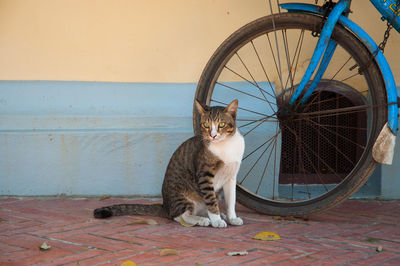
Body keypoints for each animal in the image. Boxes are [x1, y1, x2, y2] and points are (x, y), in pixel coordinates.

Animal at [93, 98, 244, 228]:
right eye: (206, 125)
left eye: (221, 124)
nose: (213, 135)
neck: (226, 145)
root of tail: (165, 206)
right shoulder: (204, 176)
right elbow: (211, 201)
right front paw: (216, 220)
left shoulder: (231, 177)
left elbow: (231, 199)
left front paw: (232, 217)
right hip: (183, 197)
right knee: (178, 216)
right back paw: (201, 220)